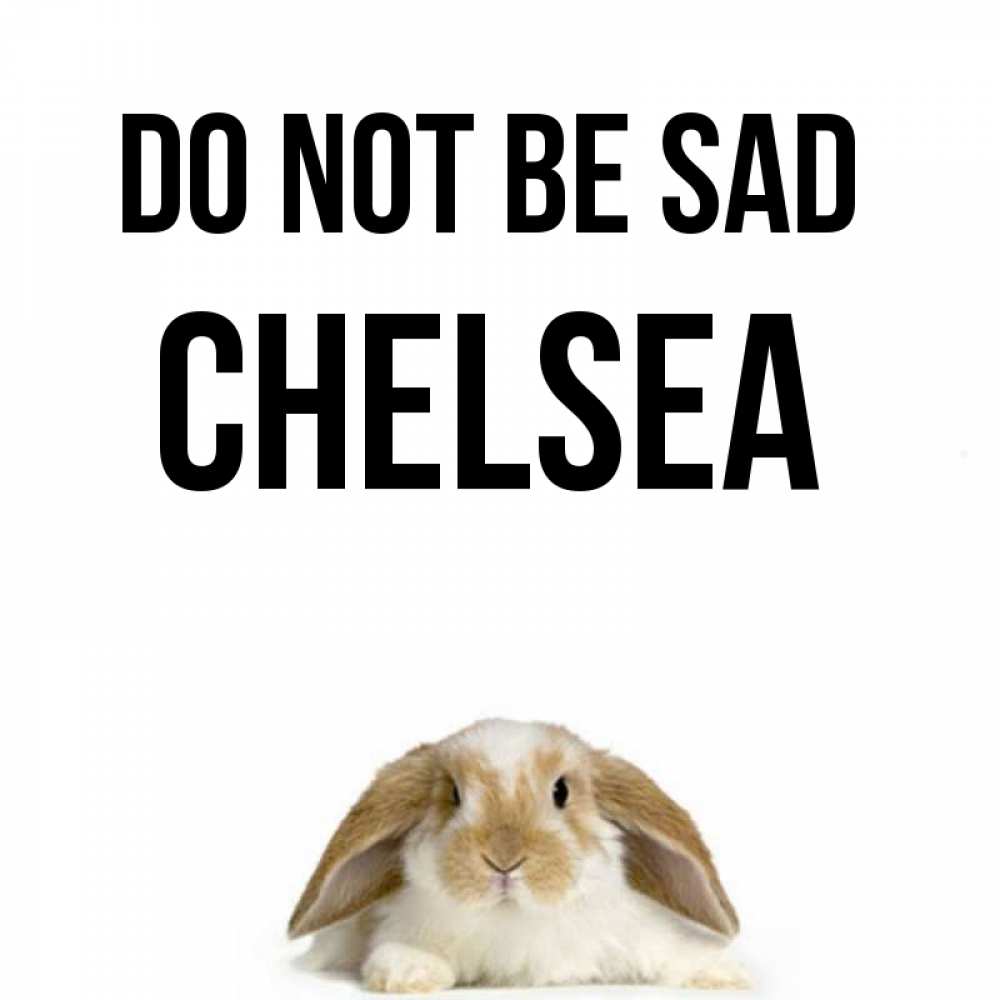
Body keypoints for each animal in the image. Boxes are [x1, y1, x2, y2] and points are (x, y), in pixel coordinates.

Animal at [288, 719, 750, 991]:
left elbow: (674, 950)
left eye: (561, 791)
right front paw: (410, 973)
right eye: (453, 795)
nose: (504, 859)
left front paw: (725, 973)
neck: (514, 918)